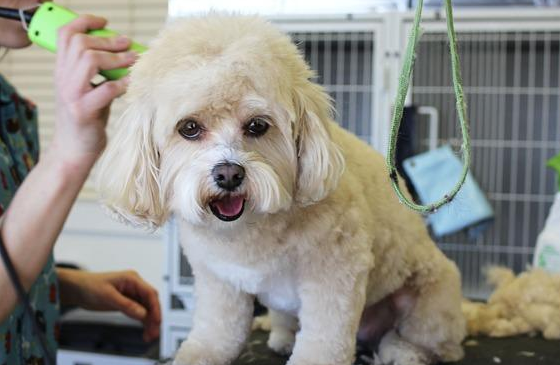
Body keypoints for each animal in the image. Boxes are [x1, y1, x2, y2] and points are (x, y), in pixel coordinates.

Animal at [98, 14, 466, 364]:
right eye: (189, 128)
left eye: (257, 126)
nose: (229, 174)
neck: (249, 229)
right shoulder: (218, 278)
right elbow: (218, 327)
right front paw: (200, 353)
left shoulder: (335, 271)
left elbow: (324, 338)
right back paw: (283, 336)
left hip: (430, 300)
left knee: (432, 342)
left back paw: (404, 352)